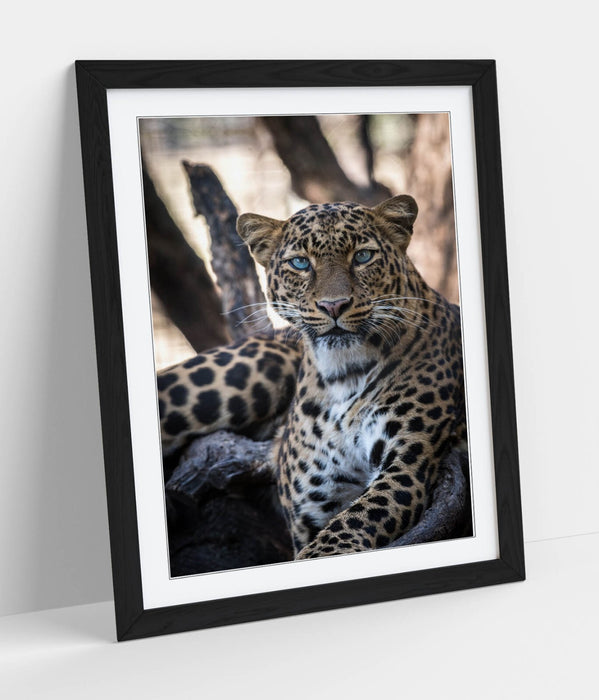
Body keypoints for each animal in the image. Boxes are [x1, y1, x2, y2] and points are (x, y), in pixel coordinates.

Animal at [158, 194, 466, 559]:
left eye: (363, 256)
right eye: (301, 263)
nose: (334, 306)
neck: (343, 375)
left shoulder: (407, 468)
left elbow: (347, 526)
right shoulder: (314, 503)